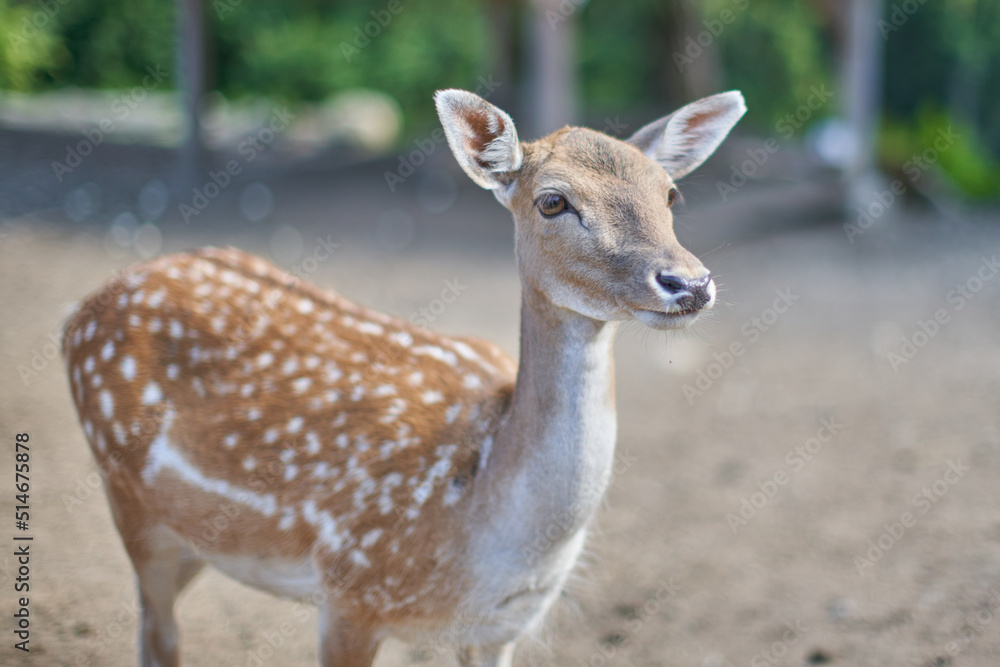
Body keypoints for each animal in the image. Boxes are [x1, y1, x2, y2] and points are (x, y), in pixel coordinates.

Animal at [62, 90, 744, 667]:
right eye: (552, 201)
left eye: (671, 194)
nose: (689, 282)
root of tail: (81, 310)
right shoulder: (350, 591)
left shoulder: (501, 628)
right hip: (128, 497)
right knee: (159, 634)